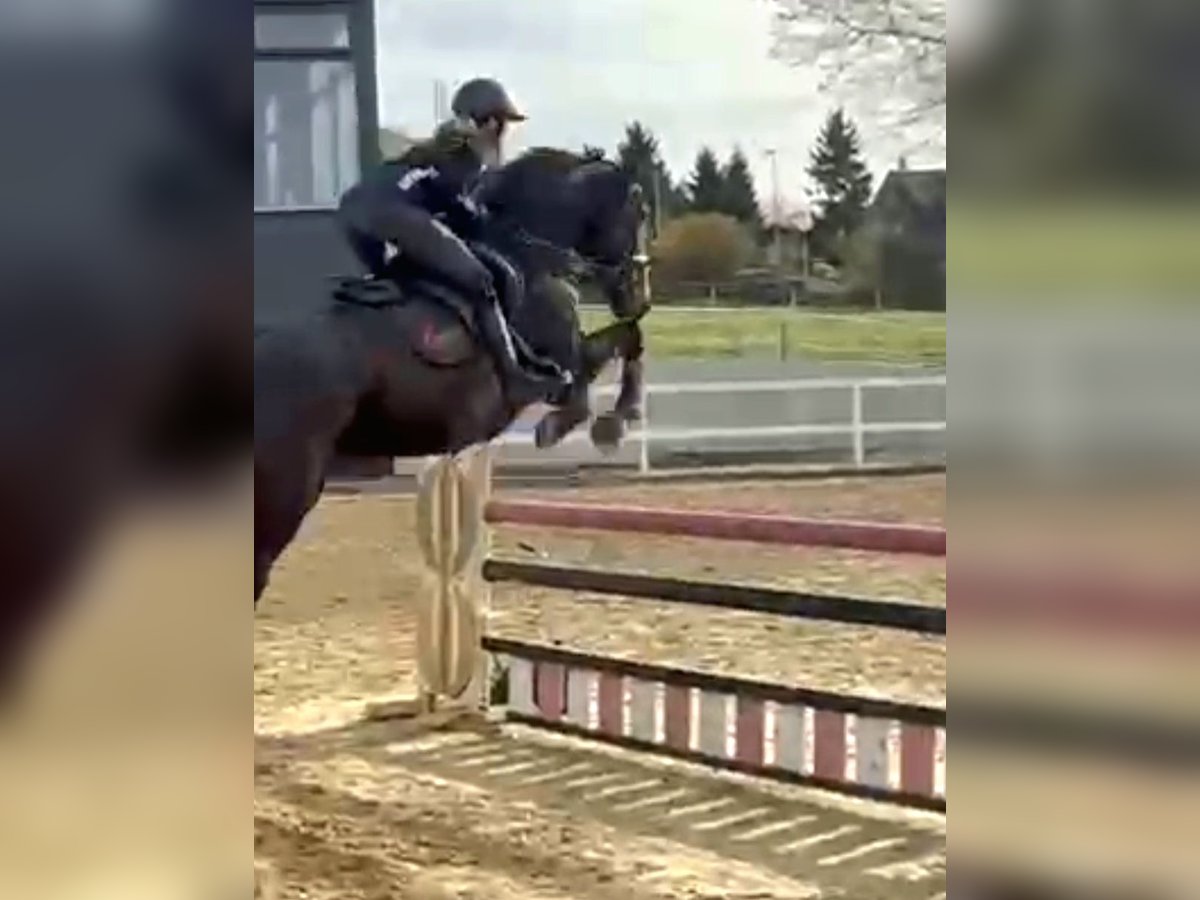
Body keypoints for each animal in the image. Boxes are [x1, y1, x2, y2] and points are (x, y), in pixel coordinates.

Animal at [253, 149, 651, 602]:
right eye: (639, 214)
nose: (639, 298)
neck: (528, 251)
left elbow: (629, 340)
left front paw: (617, 417)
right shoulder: (565, 354)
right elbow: (600, 365)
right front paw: (600, 424)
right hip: (288, 485)